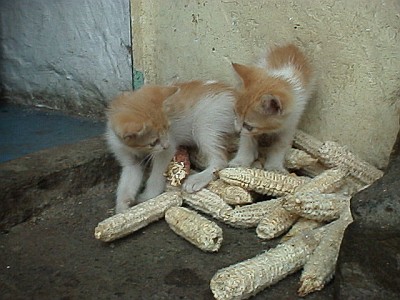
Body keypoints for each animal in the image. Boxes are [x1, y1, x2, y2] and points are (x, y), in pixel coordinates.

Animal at [106, 81, 238, 212]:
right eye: (153, 142)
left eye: (168, 128)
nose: (166, 144)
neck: (136, 148)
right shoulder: (125, 154)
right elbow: (127, 181)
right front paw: (122, 208)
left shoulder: (167, 150)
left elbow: (156, 174)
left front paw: (148, 196)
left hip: (205, 123)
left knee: (221, 160)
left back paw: (198, 179)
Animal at [228, 43, 316, 172]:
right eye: (234, 113)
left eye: (249, 126)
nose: (236, 131)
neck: (282, 79)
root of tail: (292, 46)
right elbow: (246, 141)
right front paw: (241, 160)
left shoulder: (291, 123)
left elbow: (280, 145)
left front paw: (275, 166)